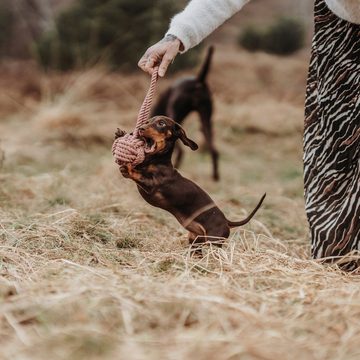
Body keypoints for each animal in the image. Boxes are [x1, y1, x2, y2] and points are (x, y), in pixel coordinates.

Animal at [116, 116, 266, 255]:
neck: (155, 161)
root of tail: (227, 221)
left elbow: (137, 174)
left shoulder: (153, 185)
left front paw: (127, 167)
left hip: (213, 242)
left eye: (161, 123)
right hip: (195, 240)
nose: (141, 128)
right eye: (147, 121)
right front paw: (120, 135)